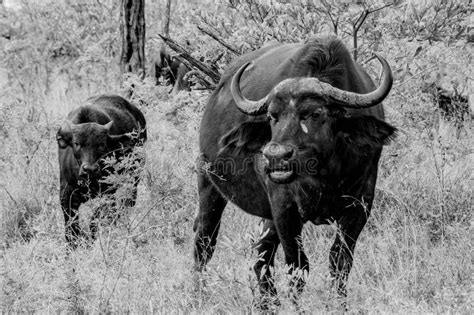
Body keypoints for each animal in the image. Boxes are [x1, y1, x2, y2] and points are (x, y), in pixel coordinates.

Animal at [55, 95, 145, 248]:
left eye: (102, 144)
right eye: (76, 143)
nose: (90, 169)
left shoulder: (108, 193)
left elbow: (96, 219)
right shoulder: (66, 194)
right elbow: (71, 227)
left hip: (134, 177)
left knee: (127, 203)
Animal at [193, 35, 396, 306]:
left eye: (315, 113)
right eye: (272, 116)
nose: (275, 157)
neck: (324, 175)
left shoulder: (360, 205)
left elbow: (340, 261)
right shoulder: (284, 209)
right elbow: (298, 266)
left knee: (262, 254)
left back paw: (267, 303)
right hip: (208, 183)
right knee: (204, 242)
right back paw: (198, 294)